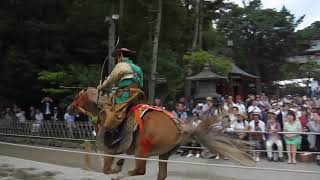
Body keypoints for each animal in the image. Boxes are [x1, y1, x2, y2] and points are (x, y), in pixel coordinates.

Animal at [68, 87, 255, 179]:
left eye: (77, 97)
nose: (69, 108)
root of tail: (182, 129)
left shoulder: (108, 149)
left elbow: (107, 169)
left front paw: (116, 171)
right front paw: (119, 165)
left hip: (142, 151)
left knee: (140, 170)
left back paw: (123, 175)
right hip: (164, 154)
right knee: (161, 174)